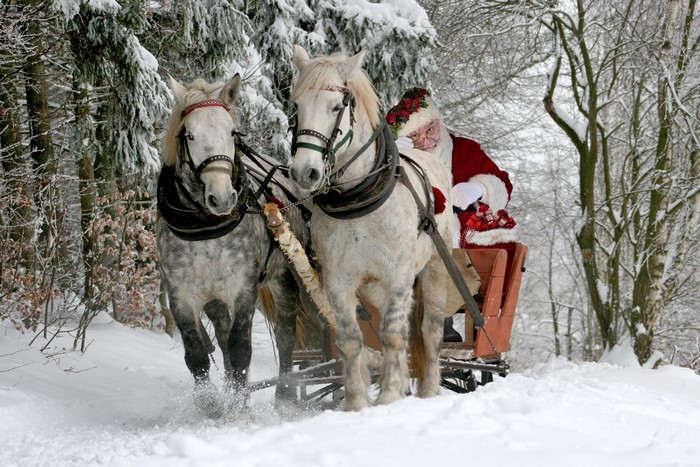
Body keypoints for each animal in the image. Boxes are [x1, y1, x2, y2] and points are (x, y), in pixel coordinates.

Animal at [157, 74, 310, 418]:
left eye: (231, 132)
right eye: (189, 134)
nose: (223, 197)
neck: (205, 227)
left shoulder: (243, 288)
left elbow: (241, 349)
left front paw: (240, 408)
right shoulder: (181, 294)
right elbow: (197, 353)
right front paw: (212, 404)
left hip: (285, 277)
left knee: (285, 335)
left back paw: (283, 395)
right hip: (215, 297)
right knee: (223, 336)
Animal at [288, 45, 454, 410]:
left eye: (336, 106)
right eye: (297, 106)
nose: (304, 172)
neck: (359, 198)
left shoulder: (401, 274)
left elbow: (392, 335)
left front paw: (390, 395)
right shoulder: (337, 279)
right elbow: (351, 340)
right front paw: (357, 402)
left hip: (435, 269)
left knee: (429, 331)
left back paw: (429, 390)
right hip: (375, 287)